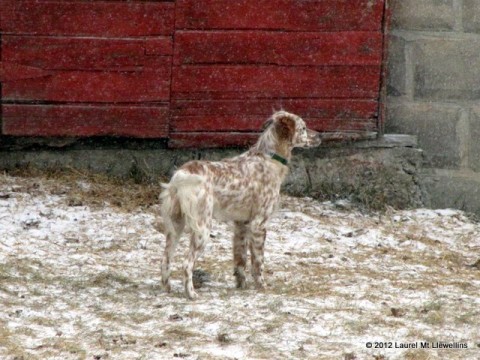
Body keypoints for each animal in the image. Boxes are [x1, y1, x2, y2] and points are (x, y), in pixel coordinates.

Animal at [159, 109, 320, 298]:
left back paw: (167, 289)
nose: (320, 136)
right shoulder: (259, 224)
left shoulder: (241, 224)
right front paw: (261, 286)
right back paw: (191, 293)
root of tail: (182, 174)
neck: (268, 158)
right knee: (186, 264)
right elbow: (258, 262)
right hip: (202, 228)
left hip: (176, 226)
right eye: (303, 128)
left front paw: (241, 285)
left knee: (165, 259)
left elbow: (240, 260)